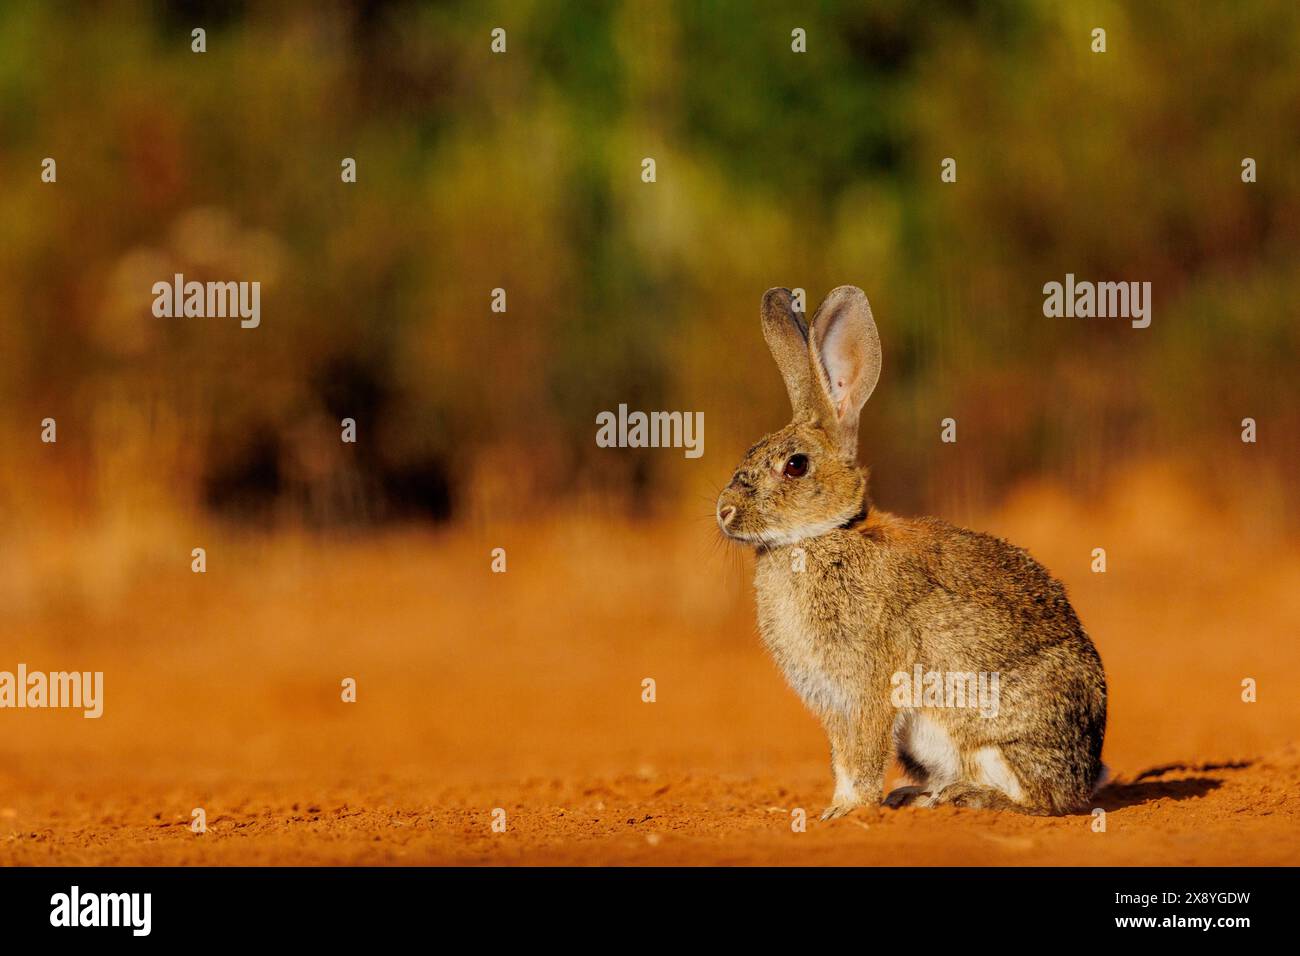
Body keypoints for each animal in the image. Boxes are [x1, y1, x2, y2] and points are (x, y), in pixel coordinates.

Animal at [716, 286, 1106, 819]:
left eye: (795, 466)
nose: (724, 512)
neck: (820, 536)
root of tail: (1089, 768)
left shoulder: (868, 685)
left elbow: (860, 755)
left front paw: (848, 810)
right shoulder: (834, 703)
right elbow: (842, 756)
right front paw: (837, 808)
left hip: (997, 727)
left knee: (1044, 800)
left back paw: (969, 796)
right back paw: (917, 795)